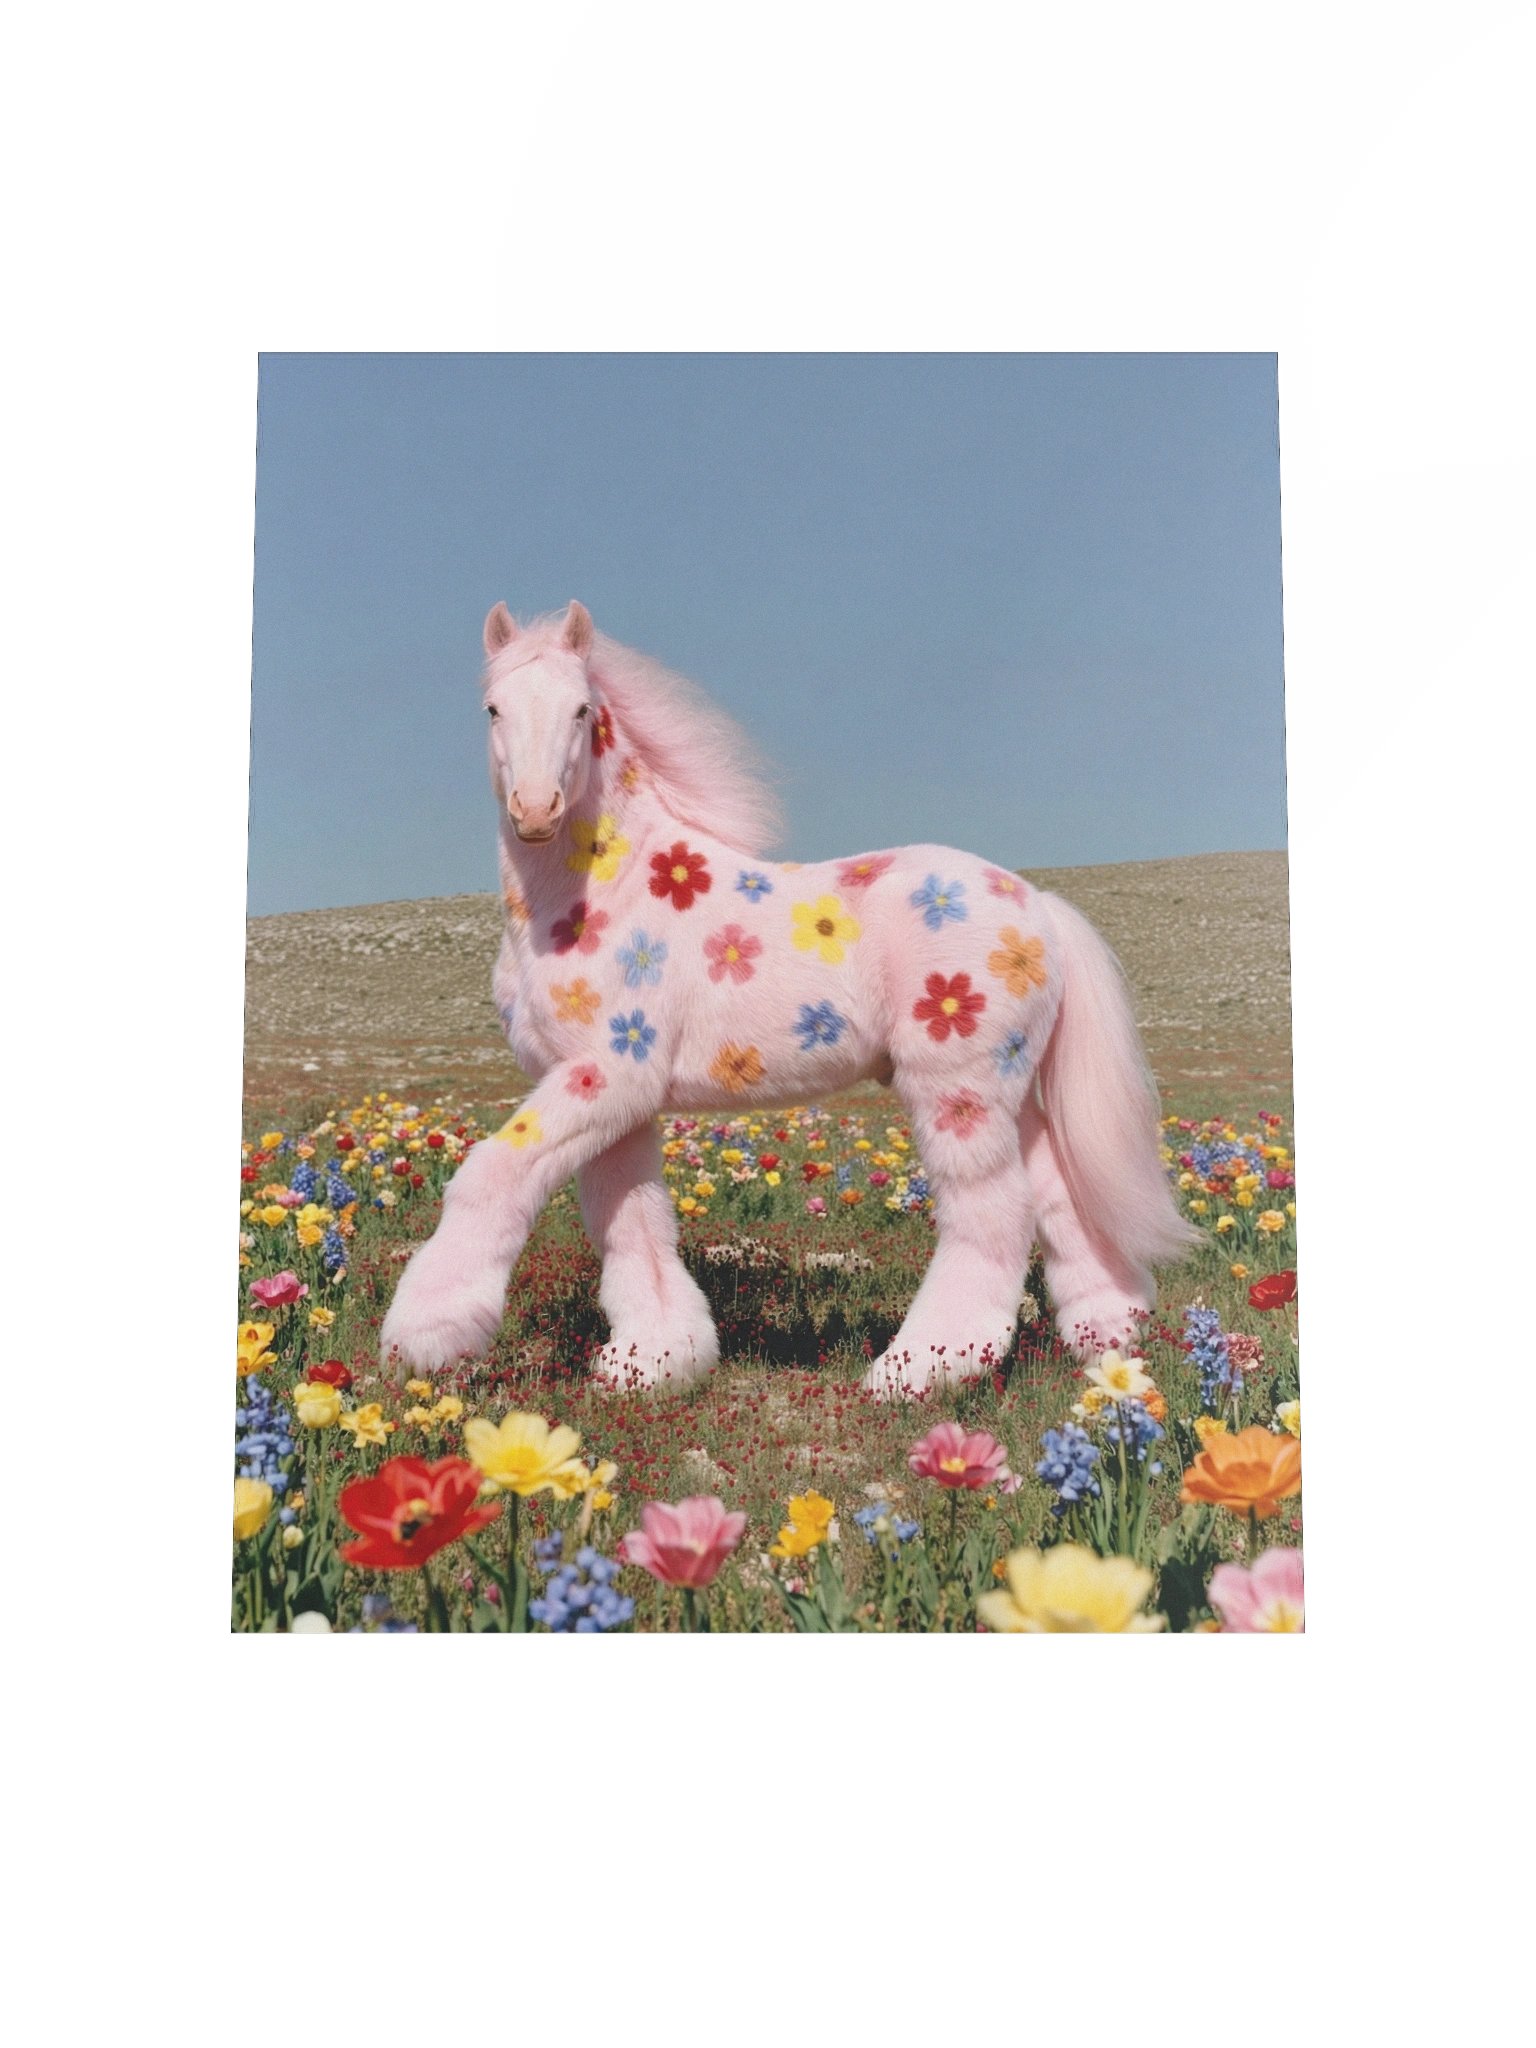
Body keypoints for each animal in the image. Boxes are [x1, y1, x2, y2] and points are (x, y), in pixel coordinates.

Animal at [379, 599, 1195, 1394]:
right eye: (492, 707)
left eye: (582, 710)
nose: (536, 810)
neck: (600, 893)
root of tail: (1041, 906)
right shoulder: (617, 1097)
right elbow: (630, 1218)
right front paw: (655, 1360)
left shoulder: (608, 1071)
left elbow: (490, 1176)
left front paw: (425, 1336)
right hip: (1012, 1092)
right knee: (1059, 1194)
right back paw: (1108, 1341)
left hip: (958, 1088)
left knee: (993, 1212)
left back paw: (921, 1368)